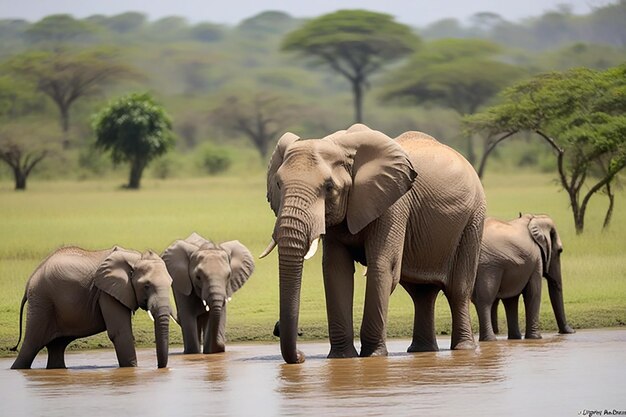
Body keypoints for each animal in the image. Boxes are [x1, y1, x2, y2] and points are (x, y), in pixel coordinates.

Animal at [9, 245, 174, 368]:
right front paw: (132, 369)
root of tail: (30, 280)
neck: (136, 258)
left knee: (57, 347)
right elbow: (120, 333)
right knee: (31, 345)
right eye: (146, 286)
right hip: (42, 302)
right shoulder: (106, 292)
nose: (159, 367)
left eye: (171, 283)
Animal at [258, 122, 482, 360]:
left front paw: (373, 356)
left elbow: (382, 267)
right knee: (421, 294)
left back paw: (463, 349)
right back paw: (422, 351)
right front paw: (341, 358)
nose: (300, 355)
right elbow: (336, 270)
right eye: (279, 184)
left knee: (458, 289)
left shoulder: (394, 204)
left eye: (329, 187)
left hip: (473, 219)